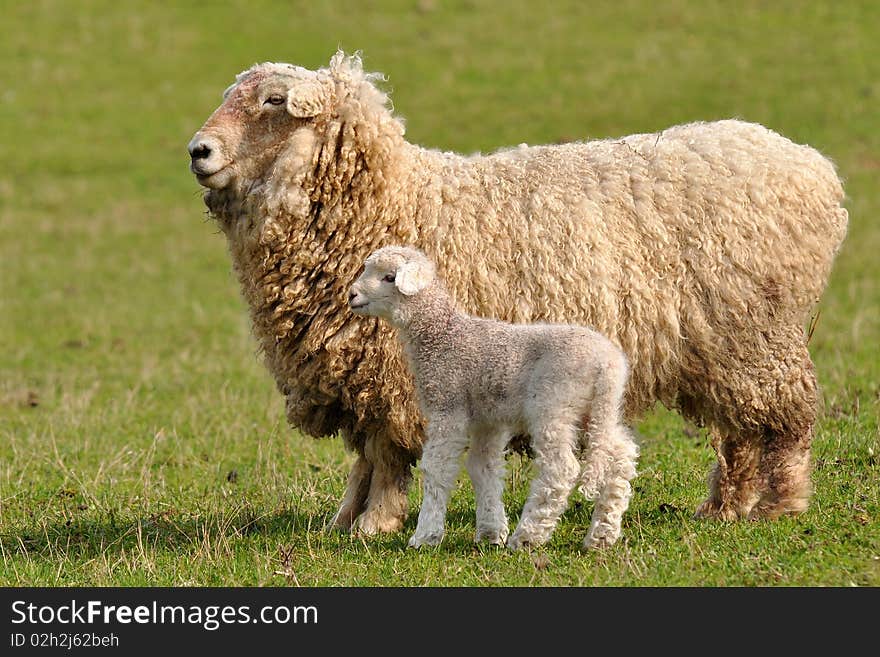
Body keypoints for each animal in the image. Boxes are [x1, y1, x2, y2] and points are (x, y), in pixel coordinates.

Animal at [346, 246, 640, 548]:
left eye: (389, 277)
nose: (352, 295)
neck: (442, 333)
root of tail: (606, 364)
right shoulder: (488, 420)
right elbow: (483, 467)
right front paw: (490, 533)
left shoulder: (447, 405)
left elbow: (437, 469)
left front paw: (425, 536)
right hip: (598, 410)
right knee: (621, 456)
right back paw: (602, 535)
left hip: (554, 403)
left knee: (560, 468)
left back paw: (528, 536)